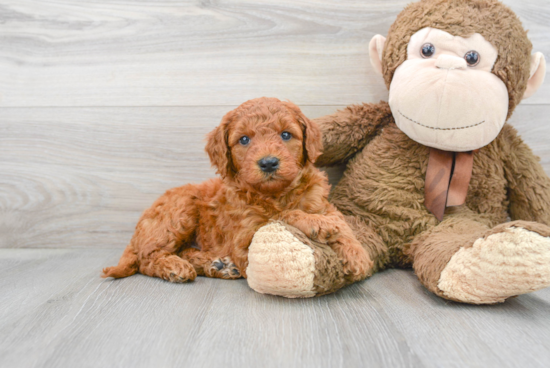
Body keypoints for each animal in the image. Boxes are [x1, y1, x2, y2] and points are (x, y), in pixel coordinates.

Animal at [102, 97, 374, 282]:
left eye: (286, 135)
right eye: (244, 139)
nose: (268, 162)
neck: (277, 195)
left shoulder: (321, 203)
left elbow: (341, 223)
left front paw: (357, 255)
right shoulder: (245, 237)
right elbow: (281, 216)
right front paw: (318, 224)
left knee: (182, 250)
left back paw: (217, 265)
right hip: (179, 212)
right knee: (146, 258)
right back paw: (176, 267)